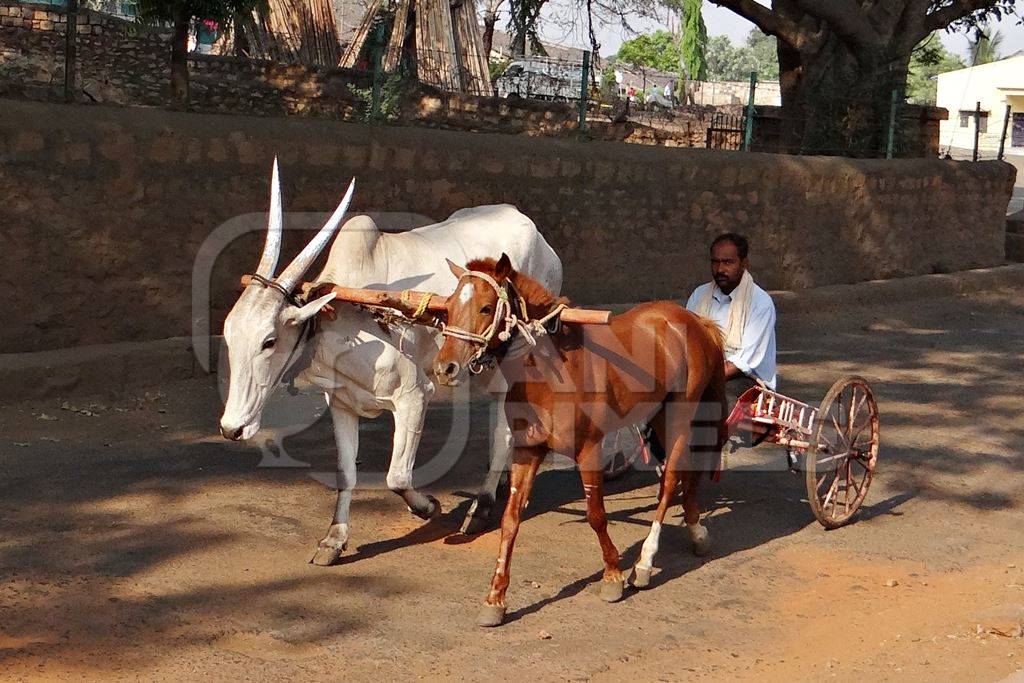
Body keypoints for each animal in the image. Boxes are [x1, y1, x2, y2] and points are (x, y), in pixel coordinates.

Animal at [432, 253, 729, 626]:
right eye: (448, 307)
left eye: (486, 308)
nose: (445, 368)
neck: (552, 373)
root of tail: (693, 320)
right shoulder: (528, 450)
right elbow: (510, 520)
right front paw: (495, 598)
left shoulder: (589, 449)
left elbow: (596, 514)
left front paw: (613, 576)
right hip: (659, 412)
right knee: (684, 472)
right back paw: (696, 530)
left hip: (681, 410)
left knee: (671, 478)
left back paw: (645, 563)